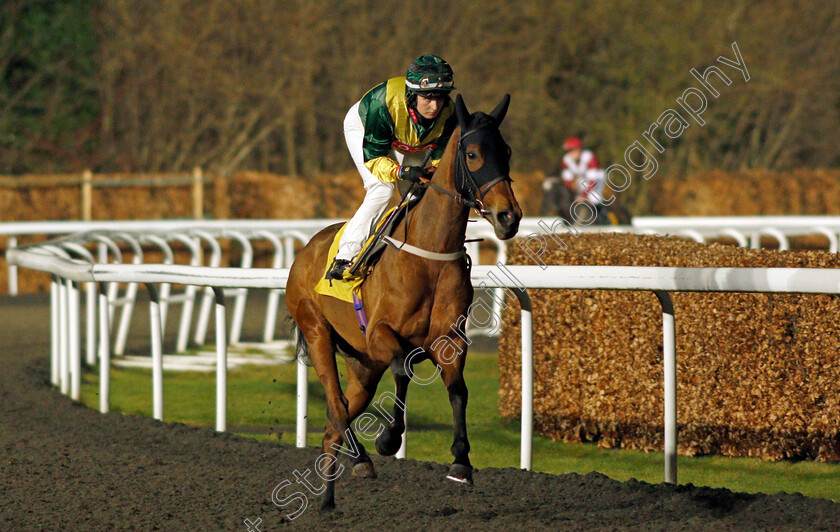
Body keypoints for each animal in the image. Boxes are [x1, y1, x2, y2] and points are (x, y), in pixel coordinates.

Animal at [290, 92, 524, 512]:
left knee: (335, 422)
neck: (430, 252)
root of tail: (304, 251)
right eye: (473, 154)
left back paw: (331, 497)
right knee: (335, 406)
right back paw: (359, 462)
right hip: (317, 334)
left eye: (507, 151)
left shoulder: (450, 339)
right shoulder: (382, 333)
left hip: (362, 364)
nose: (508, 216)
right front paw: (389, 438)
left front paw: (461, 462)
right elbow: (403, 370)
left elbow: (458, 390)